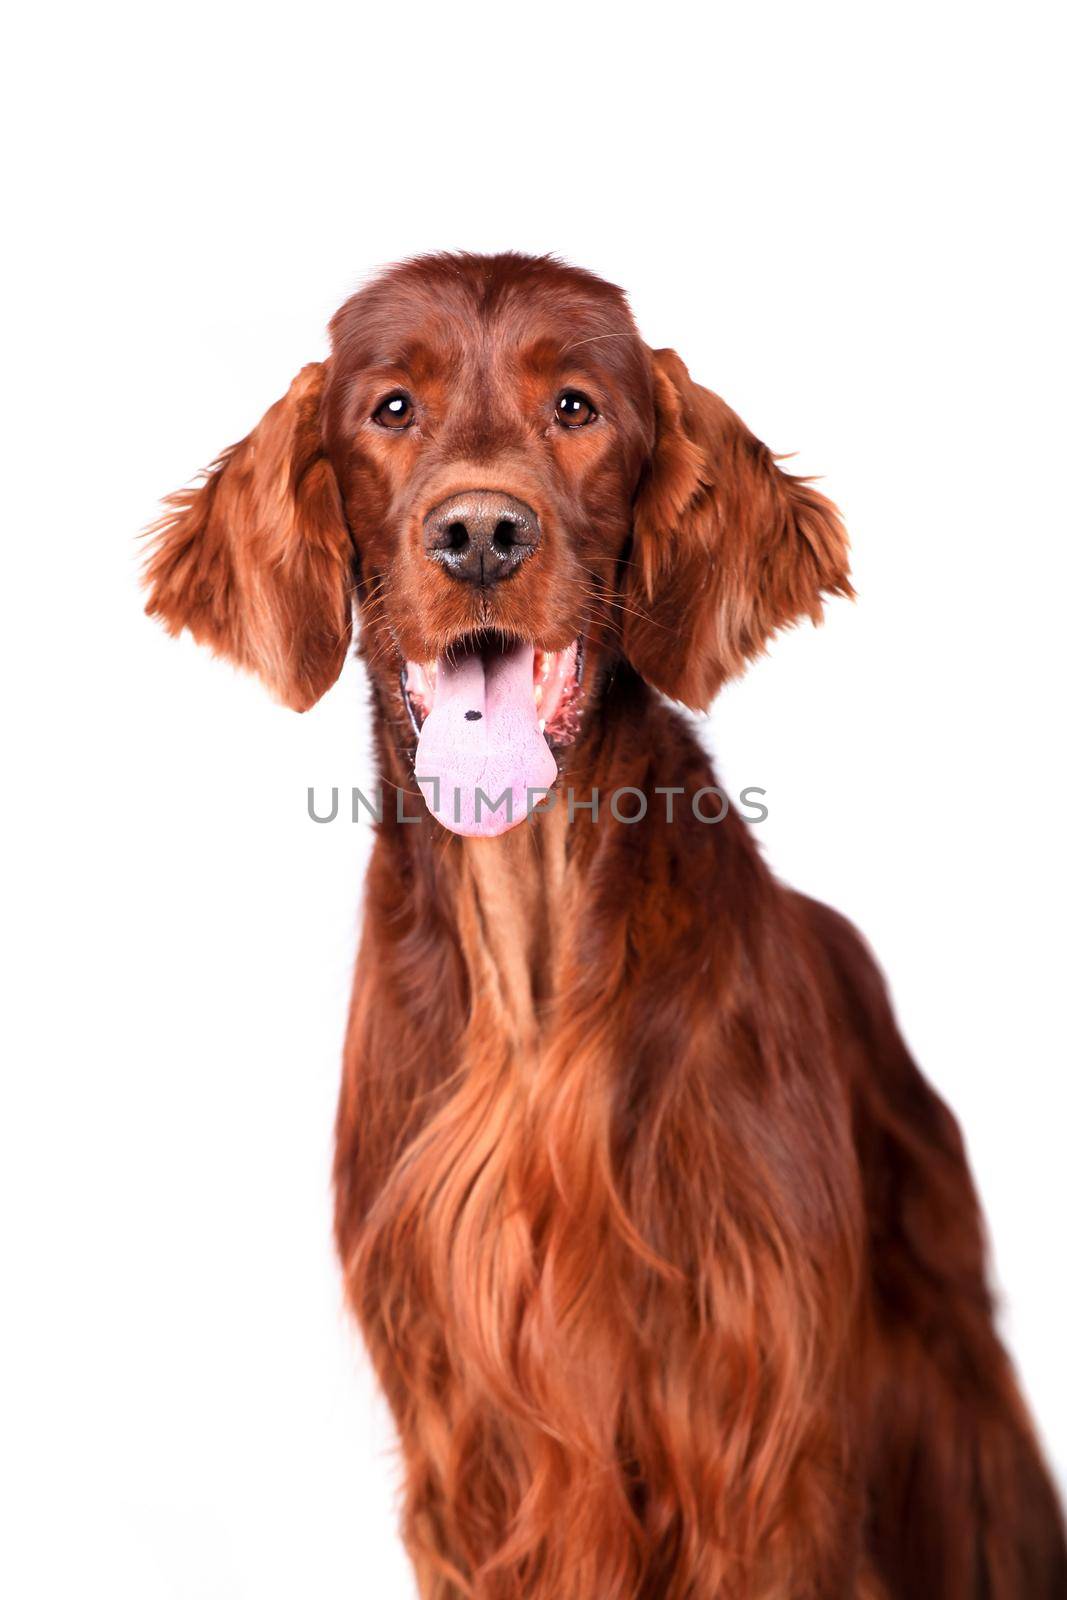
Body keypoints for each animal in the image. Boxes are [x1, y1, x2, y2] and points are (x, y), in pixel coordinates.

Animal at [146, 256, 1062, 1600]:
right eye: (390, 409)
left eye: (574, 407)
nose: (480, 534)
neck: (530, 951)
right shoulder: (469, 1441)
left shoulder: (744, 1426)